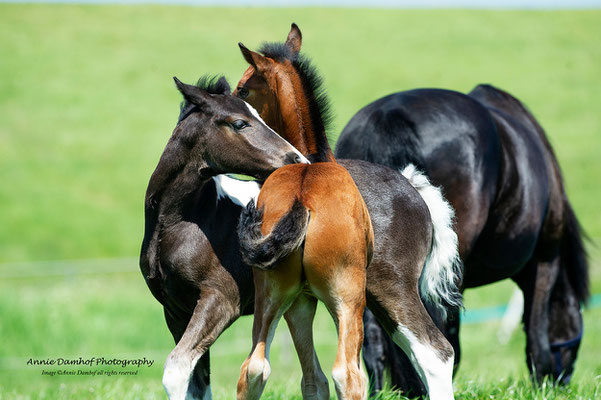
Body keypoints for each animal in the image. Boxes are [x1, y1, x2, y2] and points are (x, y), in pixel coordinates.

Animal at [233, 24, 460, 400]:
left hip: (325, 294)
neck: (313, 162)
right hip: (362, 295)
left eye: (243, 88)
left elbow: (313, 378)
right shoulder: (314, 300)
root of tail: (414, 189)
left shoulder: (301, 300)